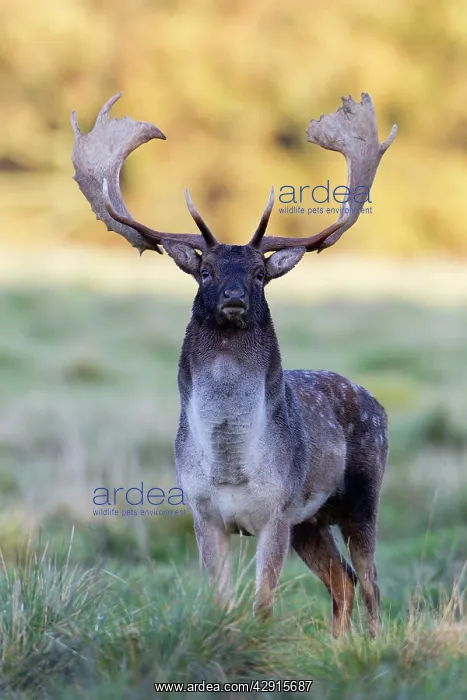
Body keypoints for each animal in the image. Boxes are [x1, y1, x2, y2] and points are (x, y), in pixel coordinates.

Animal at [71, 92, 396, 637]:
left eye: (260, 272)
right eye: (205, 270)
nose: (233, 299)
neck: (229, 466)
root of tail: (378, 402)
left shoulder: (278, 511)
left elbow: (264, 603)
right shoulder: (204, 514)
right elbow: (220, 600)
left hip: (361, 494)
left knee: (370, 582)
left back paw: (371, 645)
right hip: (311, 522)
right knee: (344, 581)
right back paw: (338, 645)